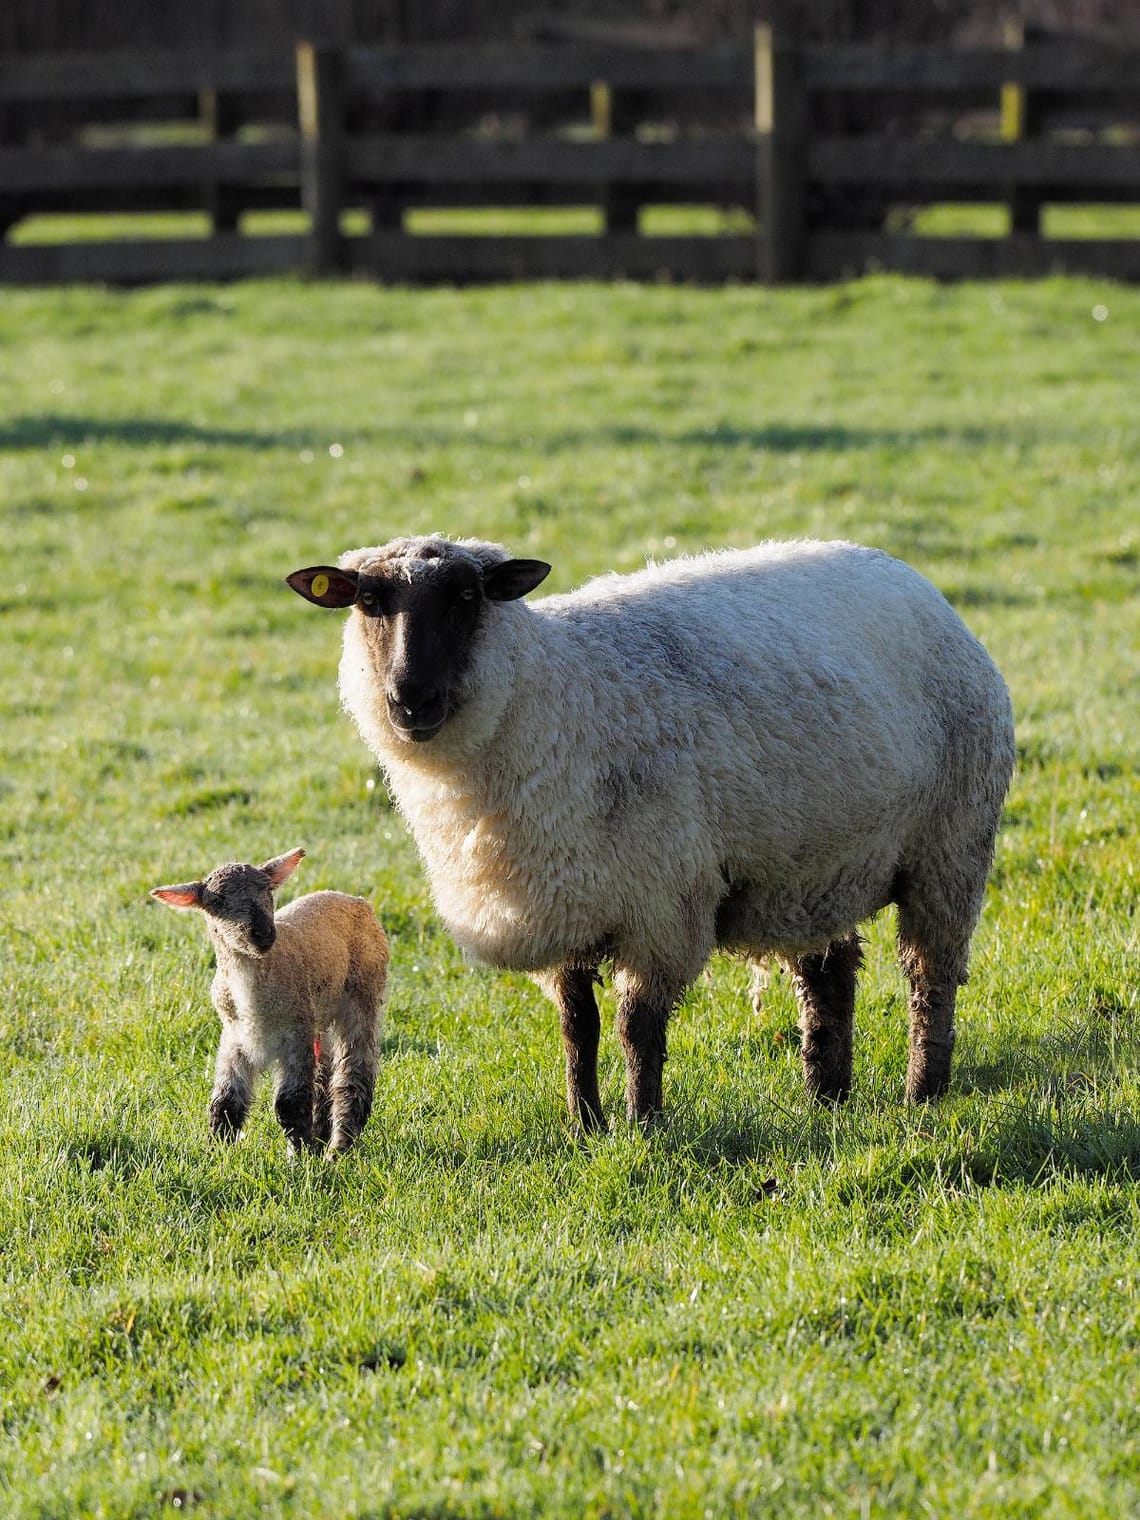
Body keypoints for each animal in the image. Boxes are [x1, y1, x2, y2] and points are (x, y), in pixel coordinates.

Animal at [150, 851, 389, 1155]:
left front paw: (299, 1157)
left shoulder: (294, 1034)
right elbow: (225, 1101)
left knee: (354, 1073)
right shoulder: (234, 1037)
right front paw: (216, 1152)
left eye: (268, 890)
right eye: (216, 902)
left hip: (363, 993)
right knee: (323, 1074)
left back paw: (339, 1149)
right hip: (318, 1014)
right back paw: (321, 1137)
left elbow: (290, 1104)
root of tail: (355, 899)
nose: (263, 934)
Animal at [287, 535, 1015, 1130]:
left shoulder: (658, 904)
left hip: (950, 847)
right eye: (370, 600)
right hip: (819, 864)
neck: (556, 699)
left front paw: (643, 1125)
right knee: (830, 976)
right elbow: (577, 1026)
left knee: (930, 975)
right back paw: (826, 1098)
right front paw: (585, 1125)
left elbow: (637, 1027)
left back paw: (923, 1092)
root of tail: (912, 579)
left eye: (466, 596)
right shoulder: (561, 901)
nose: (411, 701)